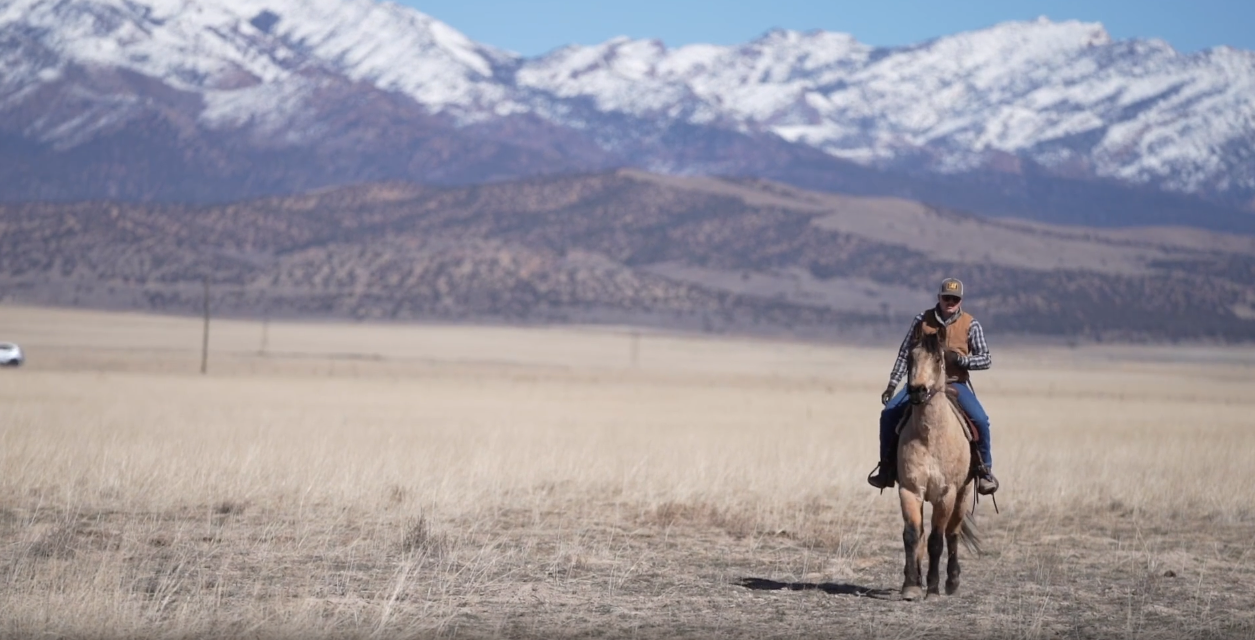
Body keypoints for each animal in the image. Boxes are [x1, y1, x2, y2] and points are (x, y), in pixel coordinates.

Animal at [896, 330, 981, 600]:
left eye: (937, 359)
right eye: (910, 358)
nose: (917, 390)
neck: (930, 436)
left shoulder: (946, 494)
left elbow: (936, 540)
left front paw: (933, 588)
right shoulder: (910, 490)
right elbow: (912, 535)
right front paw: (911, 585)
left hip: (963, 494)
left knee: (952, 533)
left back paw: (952, 581)